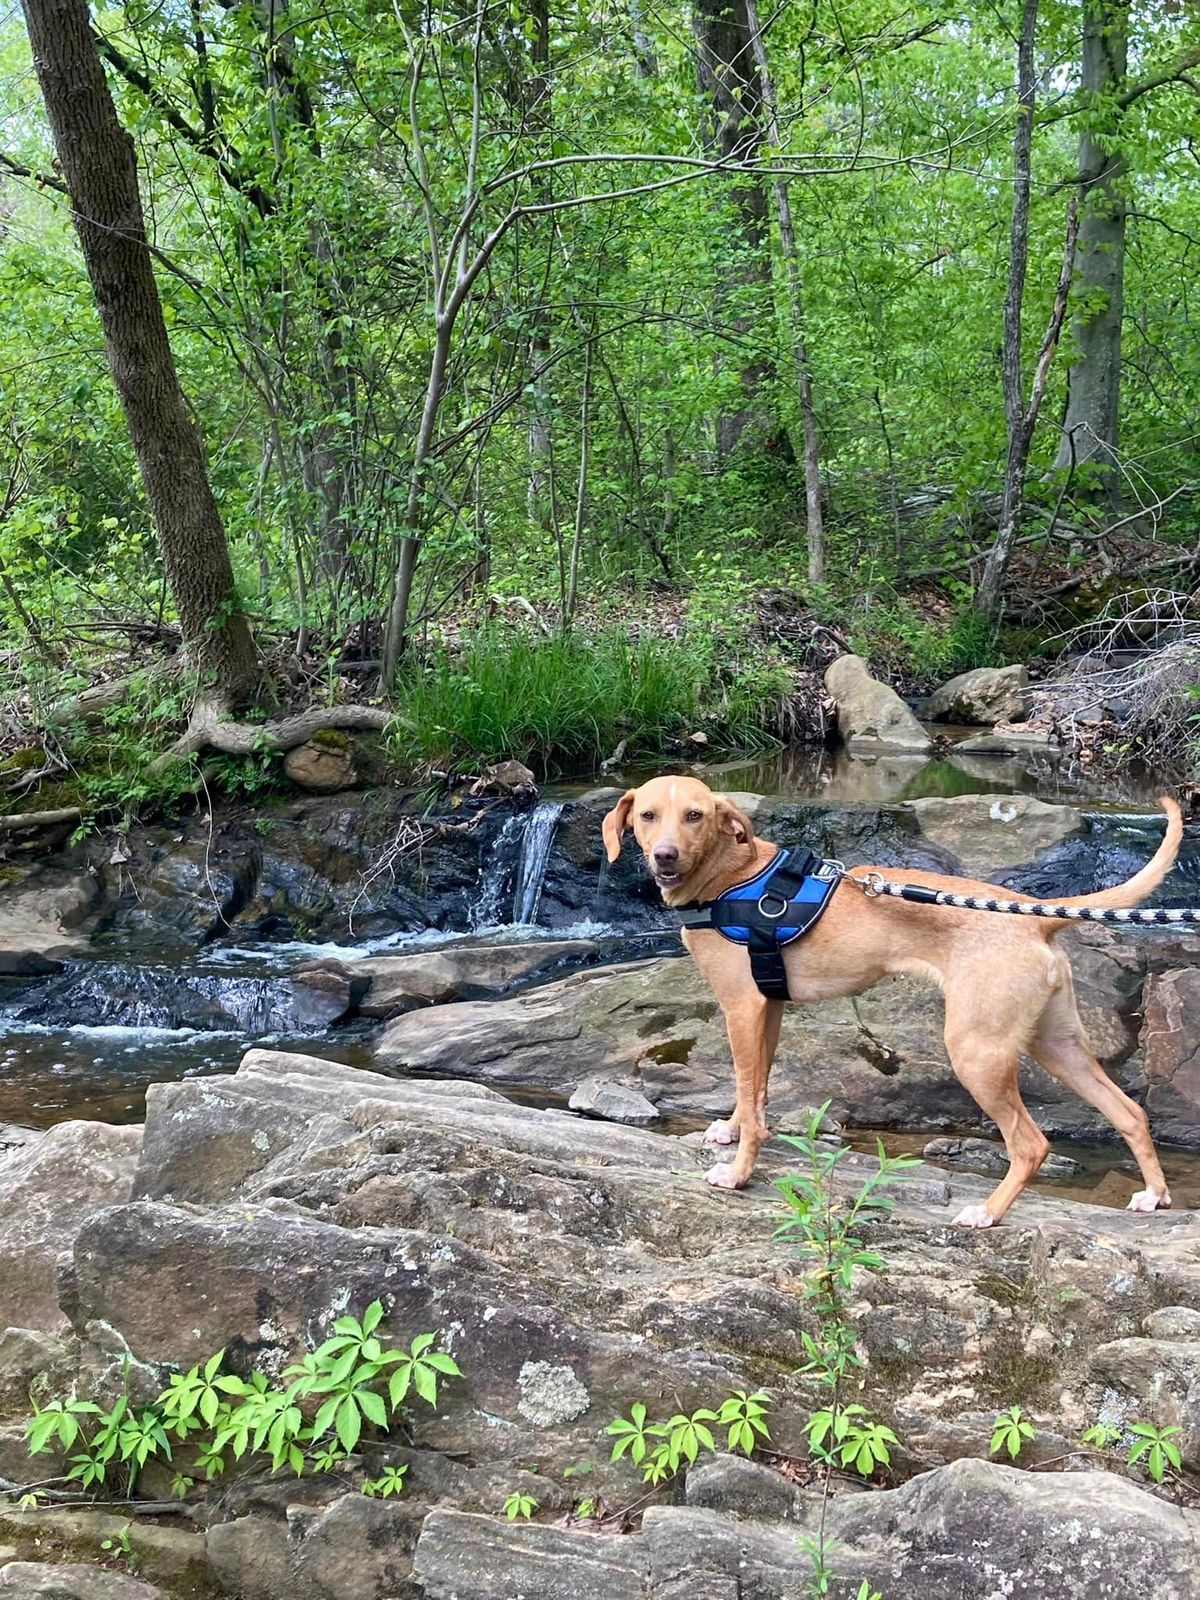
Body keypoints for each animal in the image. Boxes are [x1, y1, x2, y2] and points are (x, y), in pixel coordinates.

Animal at [601, 774, 1184, 1222]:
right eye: (648, 815)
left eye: (694, 816)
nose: (665, 856)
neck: (730, 878)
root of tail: (1033, 916)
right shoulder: (769, 1010)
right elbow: (756, 1090)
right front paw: (728, 1130)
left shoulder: (742, 1008)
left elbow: (750, 1093)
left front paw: (740, 1173)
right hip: (1056, 1044)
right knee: (1131, 1112)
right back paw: (1153, 1195)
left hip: (976, 1051)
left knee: (1031, 1143)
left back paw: (988, 1213)